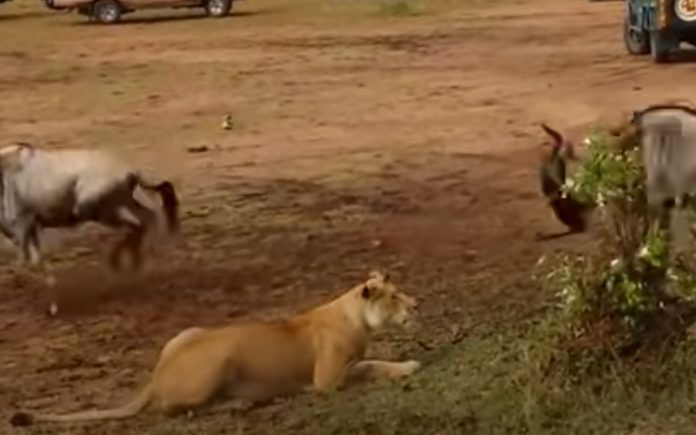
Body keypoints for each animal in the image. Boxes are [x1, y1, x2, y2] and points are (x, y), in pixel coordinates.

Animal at [10, 271, 421, 426]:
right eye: (394, 296)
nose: (416, 304)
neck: (357, 315)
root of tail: (156, 377)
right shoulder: (326, 380)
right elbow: (370, 365)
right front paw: (408, 365)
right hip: (221, 356)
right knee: (172, 408)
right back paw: (237, 404)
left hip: (185, 333)